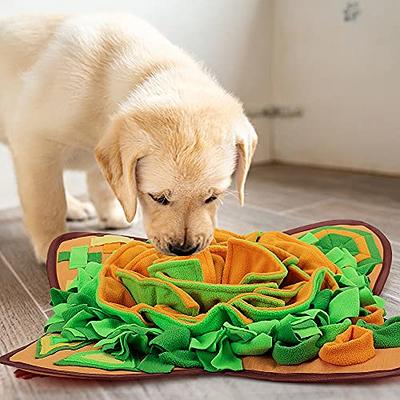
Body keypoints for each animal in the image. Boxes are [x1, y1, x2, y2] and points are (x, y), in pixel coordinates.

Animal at [0, 14, 256, 262]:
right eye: (158, 198)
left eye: (213, 197)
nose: (184, 249)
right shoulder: (34, 142)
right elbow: (48, 202)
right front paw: (51, 242)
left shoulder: (105, 153)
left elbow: (104, 184)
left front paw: (112, 214)